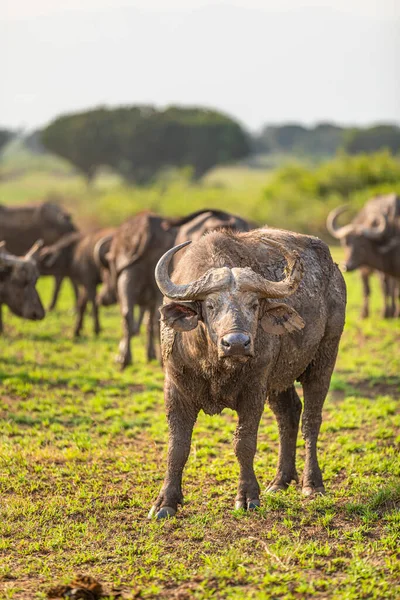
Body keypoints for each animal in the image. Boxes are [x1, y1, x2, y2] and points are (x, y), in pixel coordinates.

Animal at [148, 227, 346, 516]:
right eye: (210, 306)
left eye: (253, 305)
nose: (237, 343)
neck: (216, 366)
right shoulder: (175, 389)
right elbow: (177, 447)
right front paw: (165, 502)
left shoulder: (254, 389)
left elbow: (244, 443)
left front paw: (247, 496)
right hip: (279, 378)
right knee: (288, 413)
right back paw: (280, 481)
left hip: (324, 357)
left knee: (311, 419)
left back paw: (312, 484)